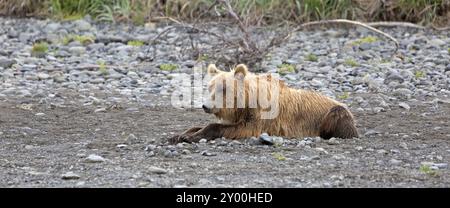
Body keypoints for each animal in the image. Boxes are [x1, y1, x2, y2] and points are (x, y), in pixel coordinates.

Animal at [169, 64, 358, 144]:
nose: (206, 106)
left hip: (334, 114)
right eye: (210, 87)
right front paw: (180, 135)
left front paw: (192, 136)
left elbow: (242, 128)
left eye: (224, 88)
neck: (244, 104)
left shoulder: (261, 117)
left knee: (337, 115)